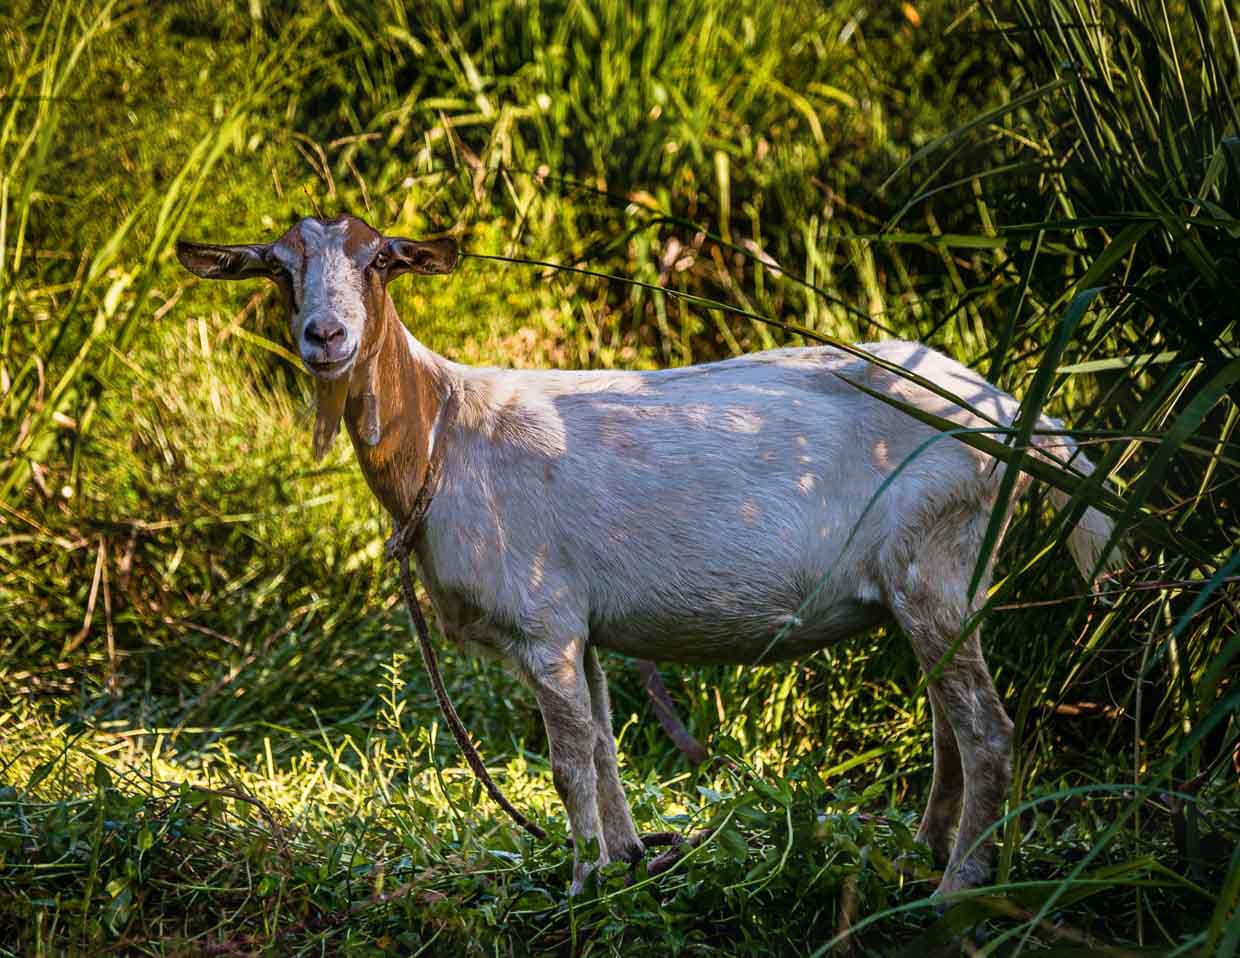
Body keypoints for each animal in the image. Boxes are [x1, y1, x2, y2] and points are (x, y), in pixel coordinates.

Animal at [177, 213, 1115, 897]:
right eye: (276, 267)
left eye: (379, 261)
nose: (325, 336)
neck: (448, 436)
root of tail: (1013, 413)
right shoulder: (582, 627)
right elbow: (602, 745)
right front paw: (629, 862)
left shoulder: (542, 621)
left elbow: (567, 762)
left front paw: (581, 882)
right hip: (937, 578)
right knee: (949, 723)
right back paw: (920, 852)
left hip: (936, 558)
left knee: (986, 731)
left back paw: (955, 888)